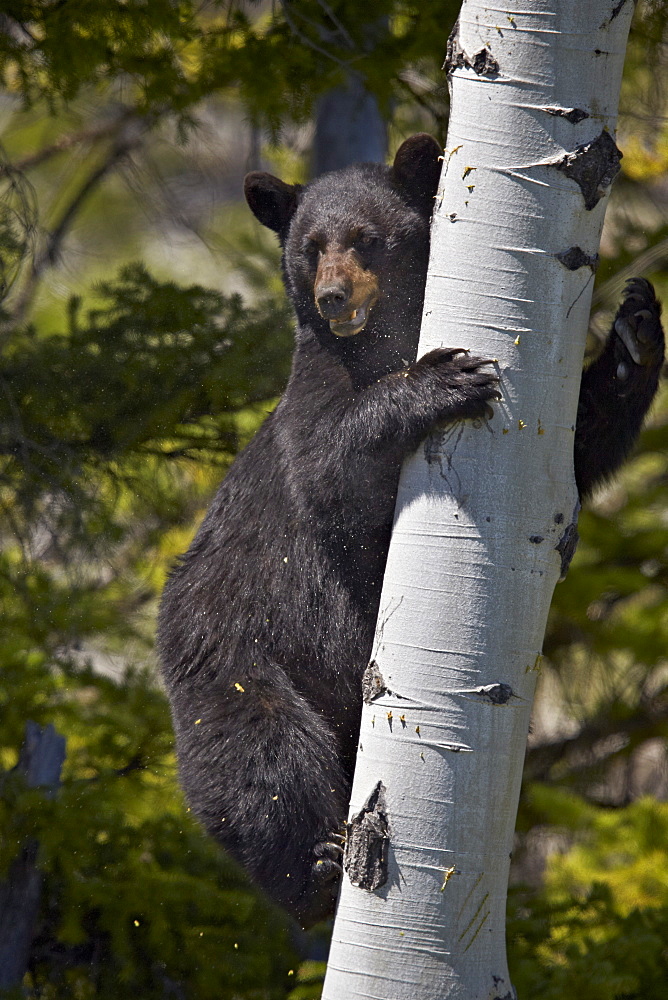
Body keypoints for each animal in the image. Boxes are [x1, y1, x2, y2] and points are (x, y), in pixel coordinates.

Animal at [157, 135, 664, 928]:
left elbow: (578, 443)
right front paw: (443, 379)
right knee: (263, 760)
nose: (333, 298)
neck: (380, 342)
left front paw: (637, 328)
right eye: (311, 247)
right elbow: (331, 465)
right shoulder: (311, 400)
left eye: (367, 237)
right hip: (239, 654)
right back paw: (315, 869)